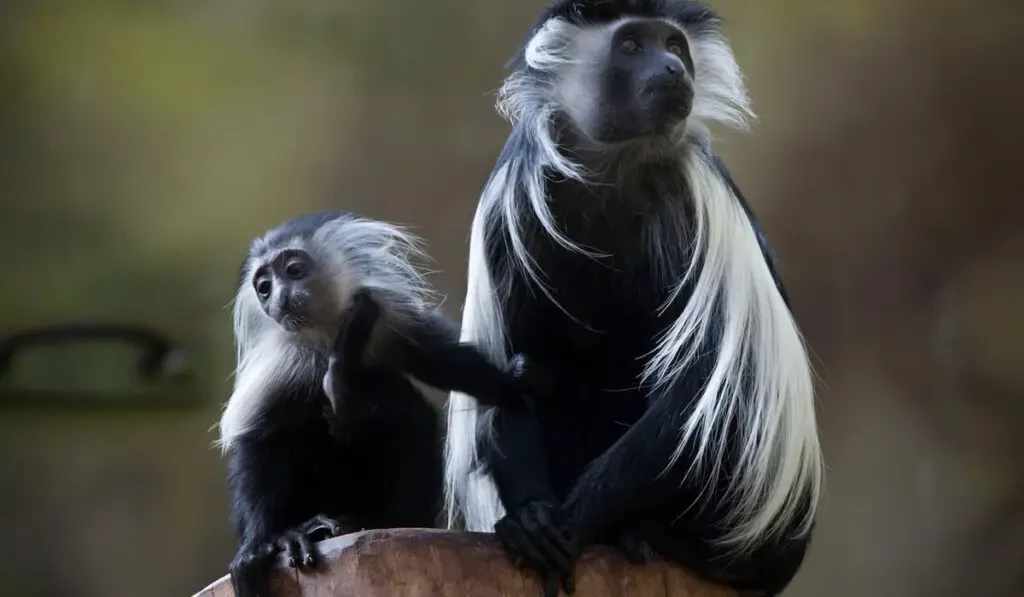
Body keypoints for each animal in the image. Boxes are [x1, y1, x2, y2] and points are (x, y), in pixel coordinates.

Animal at [218, 212, 536, 597]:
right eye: (264, 287)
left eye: (293, 270)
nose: (277, 297)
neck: (328, 337)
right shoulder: (283, 363)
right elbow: (258, 443)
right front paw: (257, 548)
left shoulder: (388, 318)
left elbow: (444, 364)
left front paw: (511, 383)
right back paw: (303, 531)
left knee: (408, 418)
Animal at [446, 1, 823, 597]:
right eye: (630, 46)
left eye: (673, 45)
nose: (673, 68)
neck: (613, 163)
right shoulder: (513, 201)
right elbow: (504, 371)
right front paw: (532, 522)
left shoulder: (694, 198)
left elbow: (699, 386)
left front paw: (575, 522)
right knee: (535, 366)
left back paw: (653, 537)